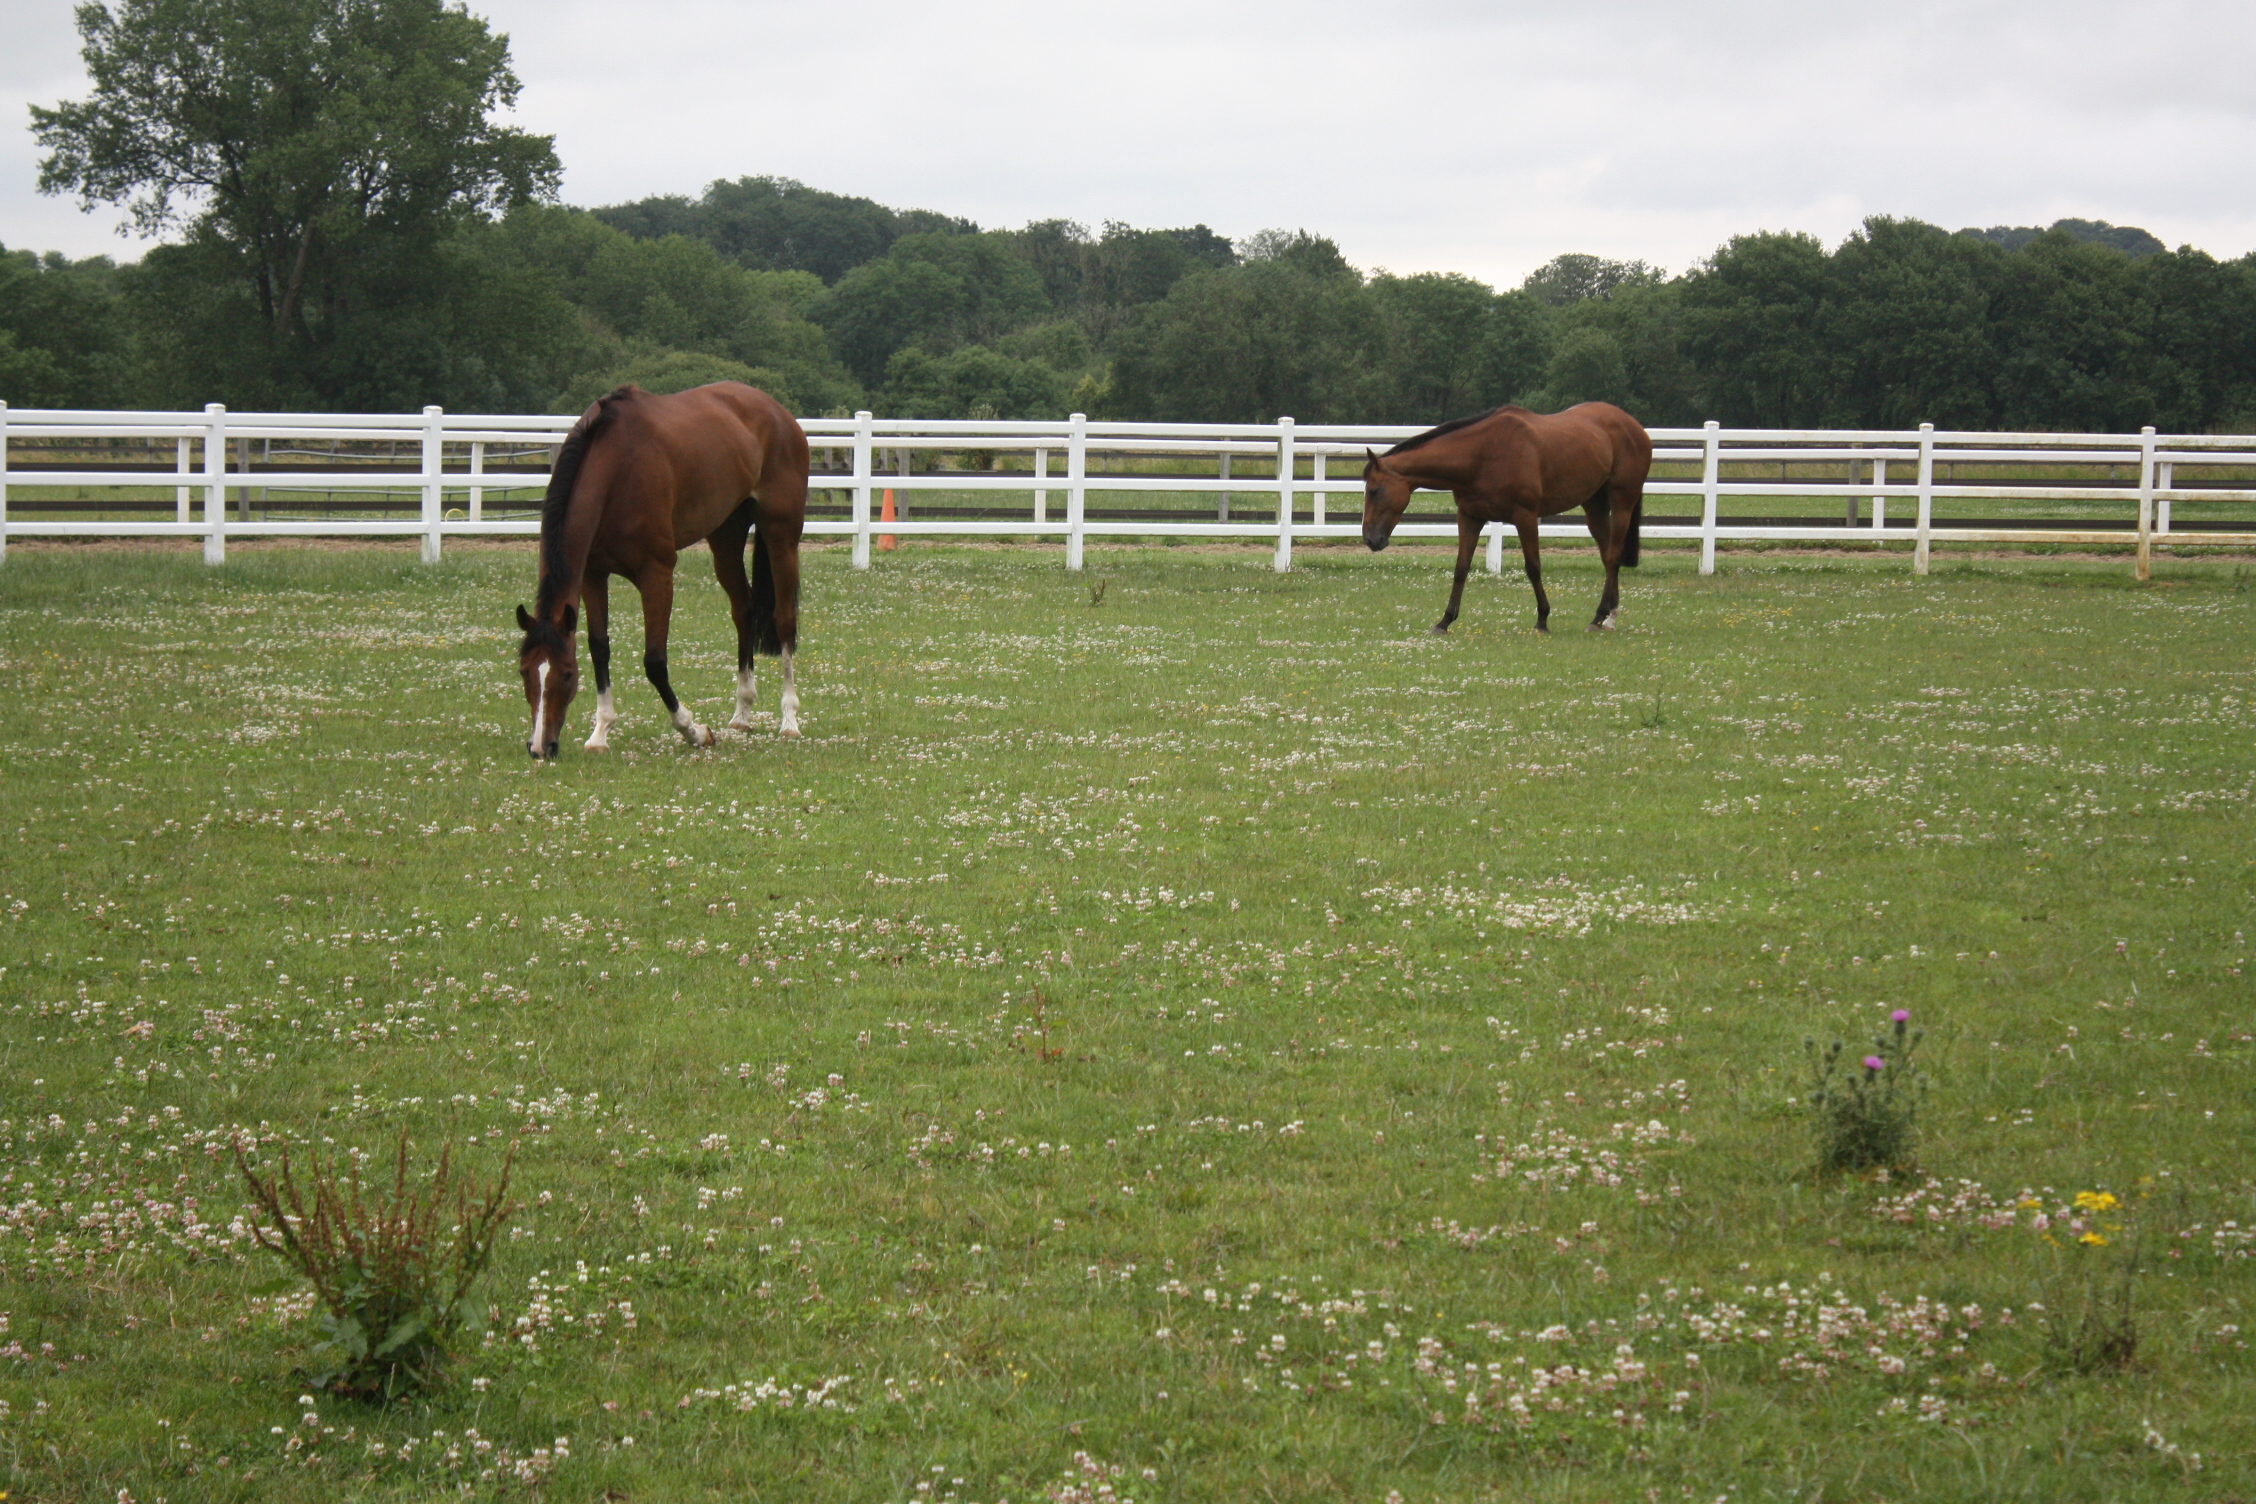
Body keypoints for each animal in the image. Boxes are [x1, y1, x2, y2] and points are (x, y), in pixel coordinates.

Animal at [516, 385, 807, 757]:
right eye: (525, 672)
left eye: (567, 674)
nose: (540, 747)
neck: (617, 470)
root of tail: (777, 411)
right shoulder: (593, 576)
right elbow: (599, 648)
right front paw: (601, 731)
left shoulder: (657, 573)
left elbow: (654, 661)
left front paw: (694, 730)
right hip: (726, 536)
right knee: (744, 611)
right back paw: (742, 712)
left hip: (781, 535)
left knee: (784, 620)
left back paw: (790, 720)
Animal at [1353, 403, 1660, 631]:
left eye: (1375, 491)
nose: (1370, 539)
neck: (1482, 454)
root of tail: (1634, 426)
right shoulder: (1469, 517)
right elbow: (1461, 567)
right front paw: (1444, 621)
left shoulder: (1526, 517)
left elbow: (1533, 566)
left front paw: (1542, 619)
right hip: (1593, 505)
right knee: (1608, 555)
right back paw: (1602, 616)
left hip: (1622, 502)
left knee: (1613, 555)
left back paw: (1606, 617)